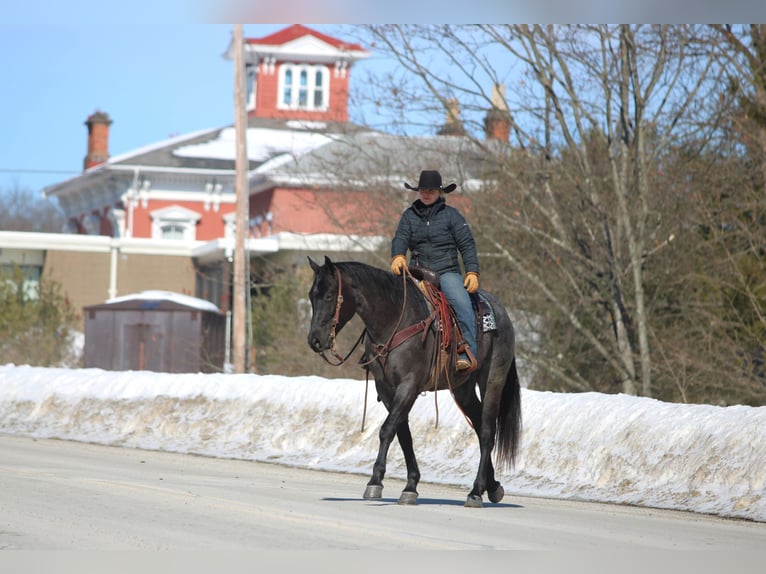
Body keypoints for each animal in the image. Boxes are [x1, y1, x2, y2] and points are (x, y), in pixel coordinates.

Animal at [307, 256, 522, 508]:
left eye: (329, 295)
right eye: (312, 296)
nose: (315, 340)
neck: (394, 321)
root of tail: (501, 312)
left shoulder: (408, 386)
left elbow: (387, 430)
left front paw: (375, 482)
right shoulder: (387, 391)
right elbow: (403, 435)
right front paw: (410, 486)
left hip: (492, 380)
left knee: (487, 431)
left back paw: (476, 492)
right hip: (463, 389)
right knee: (478, 426)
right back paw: (493, 486)